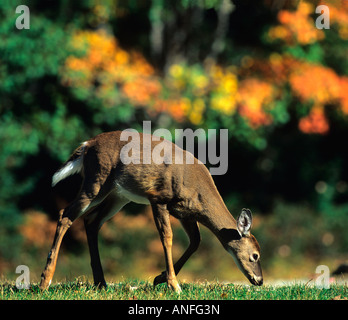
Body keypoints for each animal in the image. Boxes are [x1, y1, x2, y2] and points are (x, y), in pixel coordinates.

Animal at [39, 130, 262, 292]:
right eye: (255, 255)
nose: (259, 280)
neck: (198, 191)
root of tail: (87, 145)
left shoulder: (185, 212)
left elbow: (195, 241)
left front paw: (158, 278)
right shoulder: (158, 198)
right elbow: (167, 237)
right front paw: (173, 285)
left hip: (118, 195)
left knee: (91, 221)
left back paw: (101, 283)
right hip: (96, 181)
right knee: (65, 214)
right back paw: (45, 282)